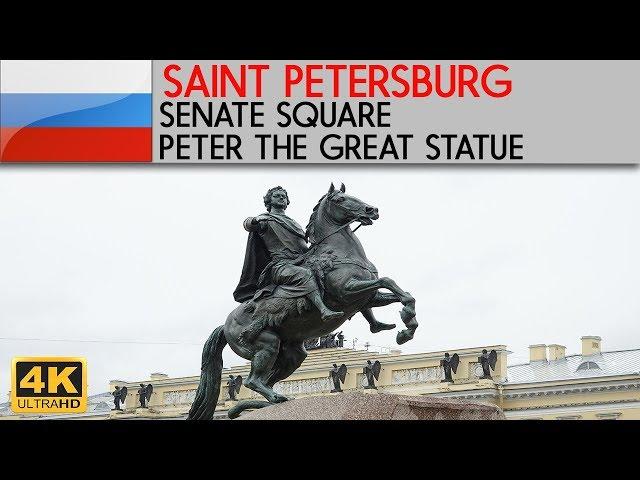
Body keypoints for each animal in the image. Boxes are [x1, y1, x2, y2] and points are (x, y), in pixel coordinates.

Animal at [186, 182, 416, 418]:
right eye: (340, 199)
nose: (372, 210)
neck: (337, 252)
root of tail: (224, 326)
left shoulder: (366, 298)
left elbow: (402, 293)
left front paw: (405, 328)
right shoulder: (346, 291)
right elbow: (387, 280)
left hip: (292, 355)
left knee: (267, 381)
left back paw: (275, 401)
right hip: (267, 344)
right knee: (252, 380)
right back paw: (276, 399)